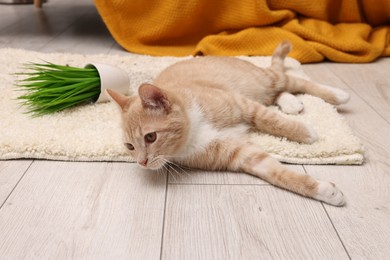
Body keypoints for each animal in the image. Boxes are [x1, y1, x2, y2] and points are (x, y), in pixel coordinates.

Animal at [107, 41, 350, 206]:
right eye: (129, 146)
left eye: (151, 137)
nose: (142, 163)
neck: (195, 128)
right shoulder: (242, 155)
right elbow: (277, 173)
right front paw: (323, 190)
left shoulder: (243, 105)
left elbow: (271, 120)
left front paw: (304, 132)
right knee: (278, 93)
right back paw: (291, 102)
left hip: (264, 81)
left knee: (295, 81)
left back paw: (337, 94)